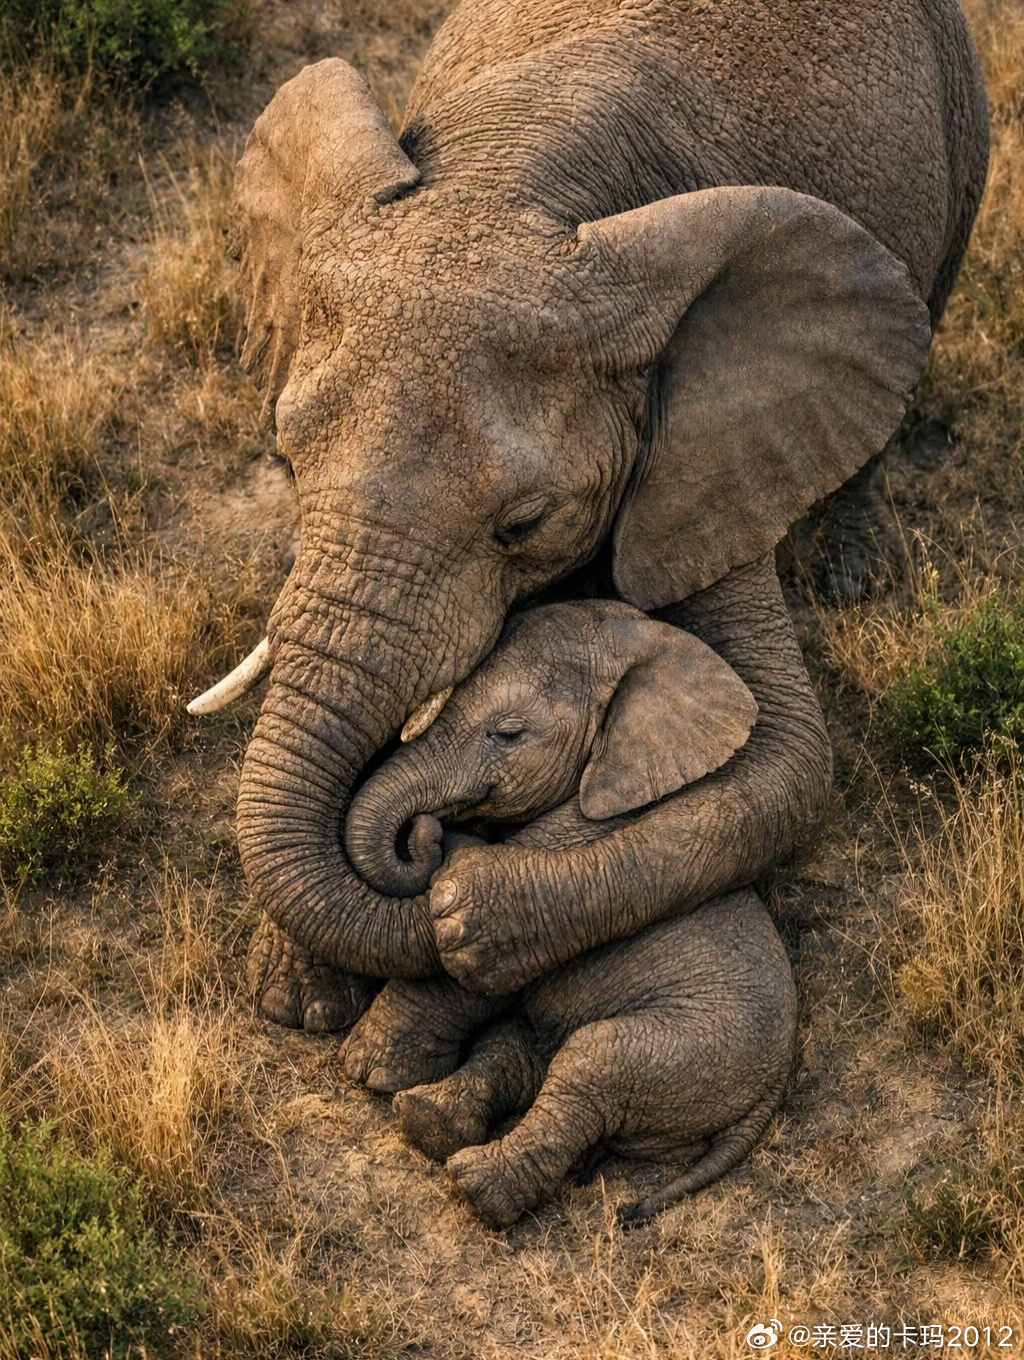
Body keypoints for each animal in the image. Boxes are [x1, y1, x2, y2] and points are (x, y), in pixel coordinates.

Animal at [189, 0, 987, 1033]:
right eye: (287, 463)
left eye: (523, 525)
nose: (426, 844)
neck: (510, 181)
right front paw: (295, 1000)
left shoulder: (704, 442)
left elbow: (787, 760)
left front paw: (470, 912)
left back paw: (849, 569)